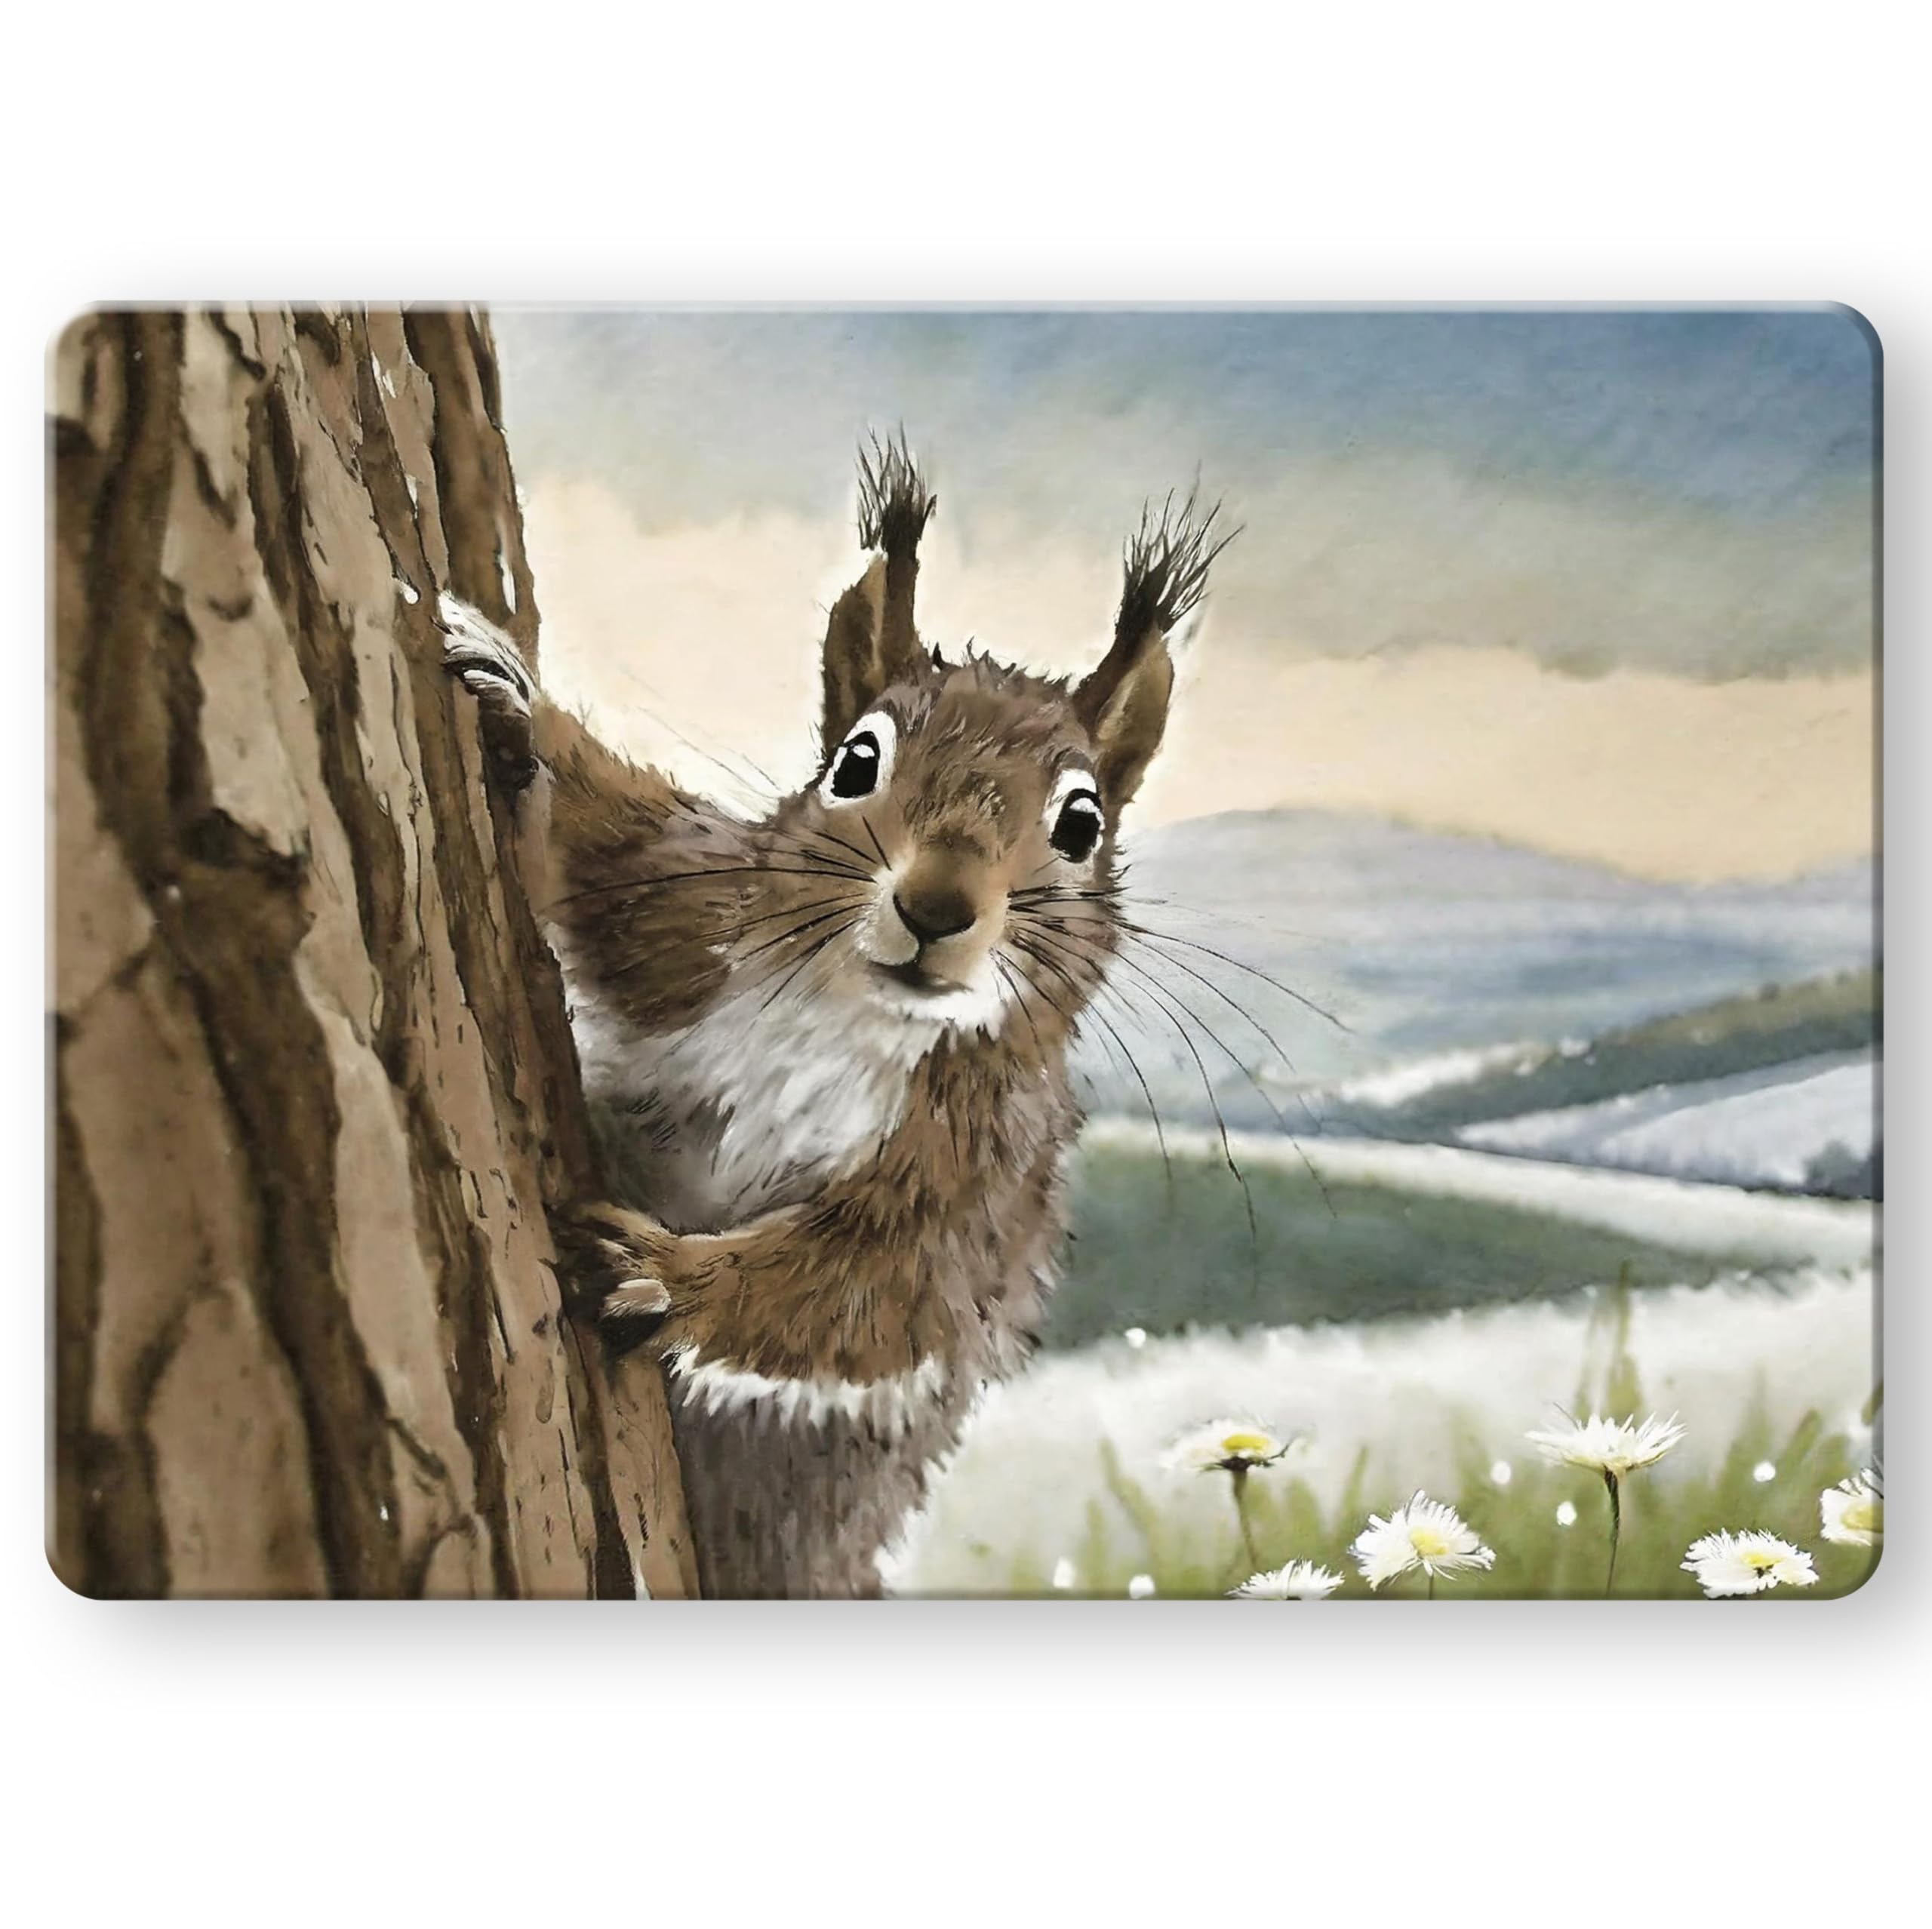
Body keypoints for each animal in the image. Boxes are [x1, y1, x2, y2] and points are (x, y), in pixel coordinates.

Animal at [443, 438, 1224, 1596]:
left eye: (1082, 823)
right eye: (856, 761)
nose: (936, 908)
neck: (847, 1015)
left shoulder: (982, 1170)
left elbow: (869, 1288)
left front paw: (665, 1278)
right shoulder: (684, 916)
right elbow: (604, 851)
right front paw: (511, 704)